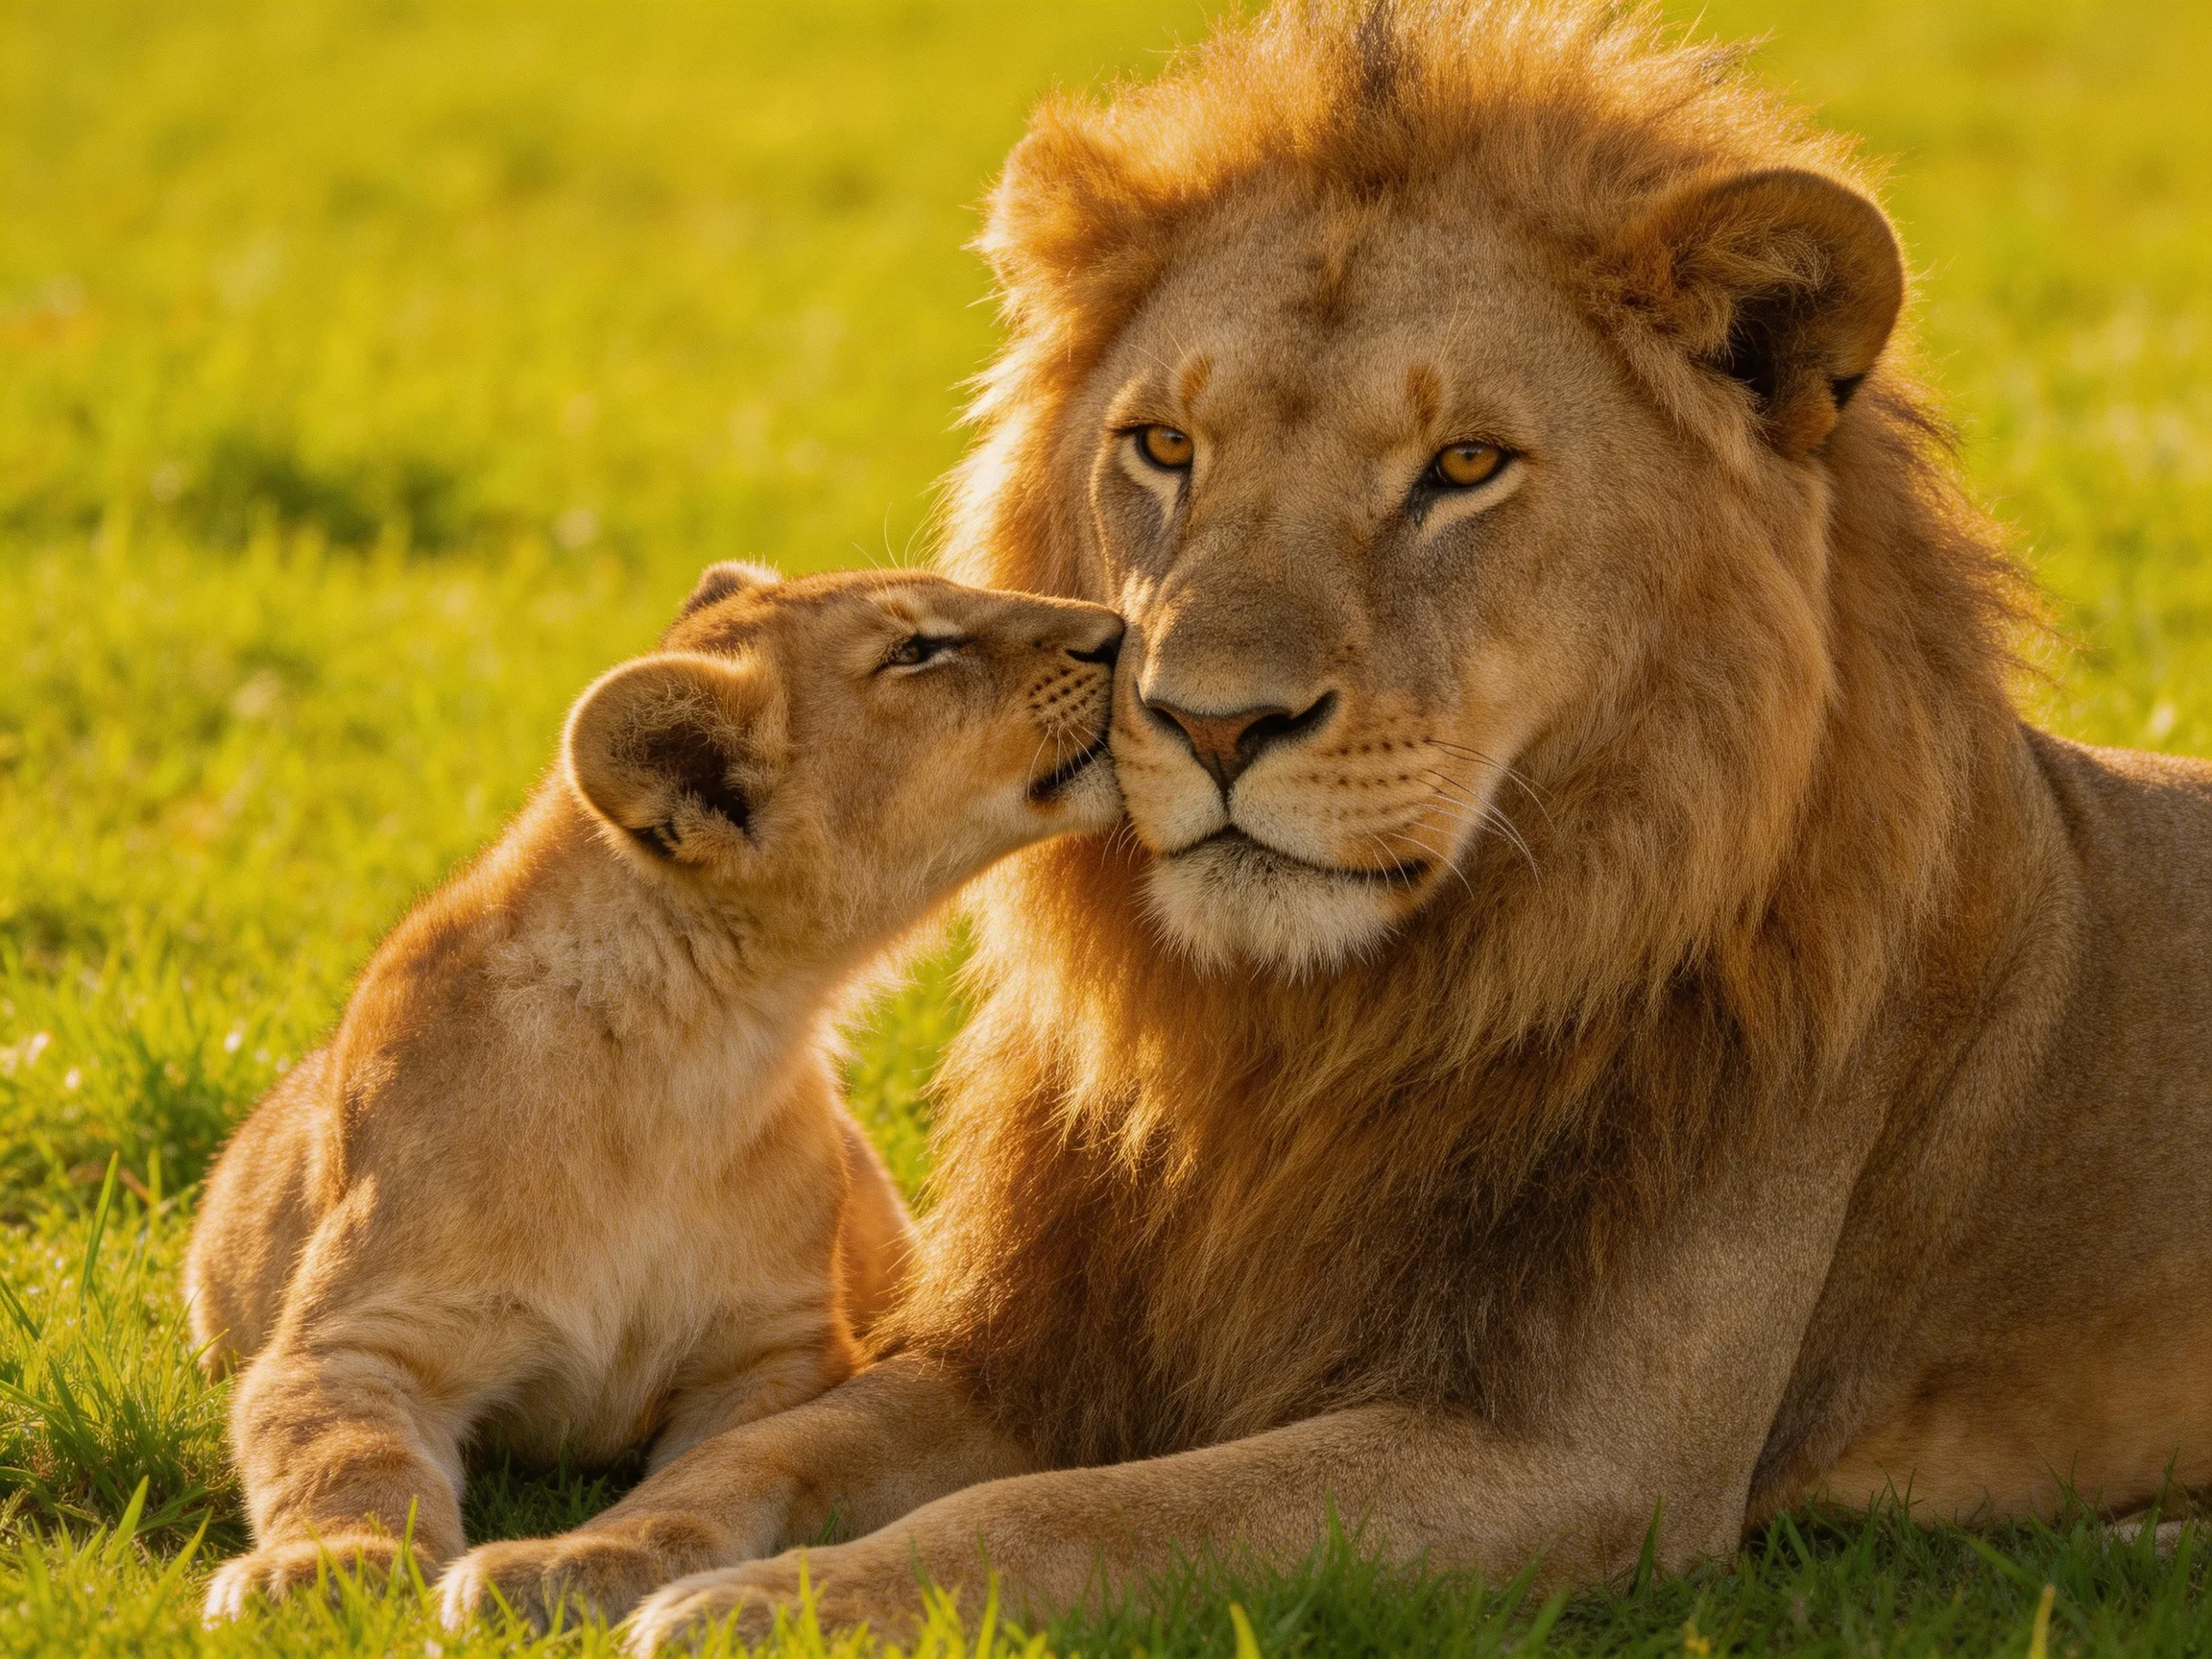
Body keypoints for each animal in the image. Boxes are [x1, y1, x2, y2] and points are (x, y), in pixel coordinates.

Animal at [186, 563, 1123, 1623]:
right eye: (915, 650)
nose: (1116, 629)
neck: (694, 1053)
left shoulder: (772, 1352)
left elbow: (712, 1471)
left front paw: (595, 1561)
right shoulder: (360, 1337)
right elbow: (345, 1458)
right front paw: (326, 1570)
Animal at [434, 3, 2212, 1648]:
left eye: (1464, 465)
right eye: (1162, 445)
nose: (1212, 721)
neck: (1295, 1042)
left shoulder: (1580, 1457)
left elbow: (1083, 1515)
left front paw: (780, 1607)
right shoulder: (1036, 1347)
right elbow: (775, 1443)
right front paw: (574, 1556)